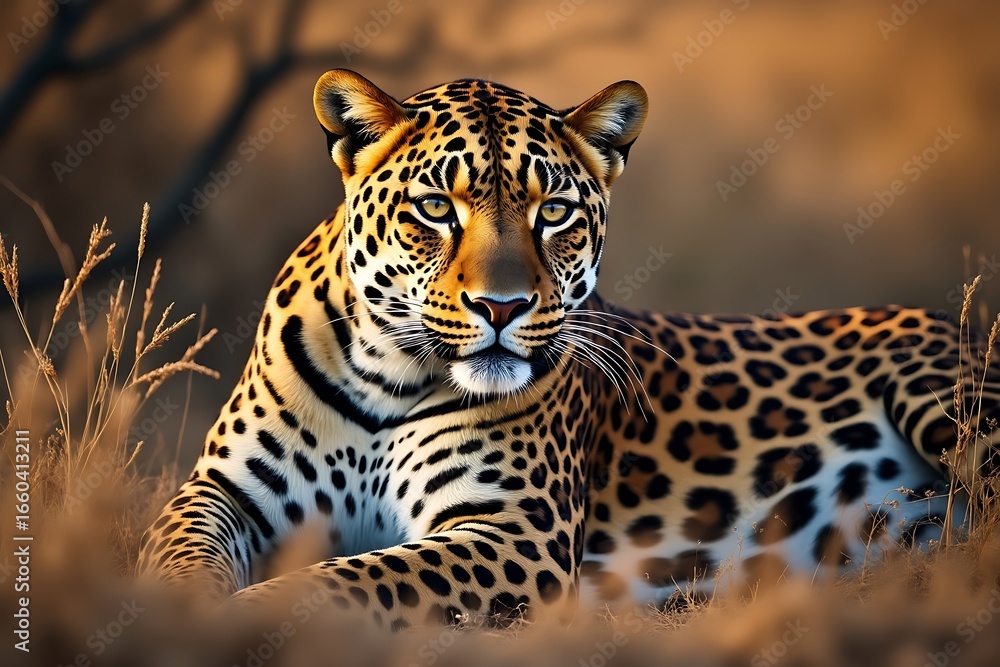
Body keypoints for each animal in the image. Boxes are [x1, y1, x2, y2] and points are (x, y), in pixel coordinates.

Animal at [138, 69, 1000, 628]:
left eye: (552, 211)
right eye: (436, 207)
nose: (502, 307)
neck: (389, 373)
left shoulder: (513, 528)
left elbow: (350, 580)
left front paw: (247, 619)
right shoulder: (224, 490)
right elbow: (175, 551)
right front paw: (169, 613)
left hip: (950, 402)